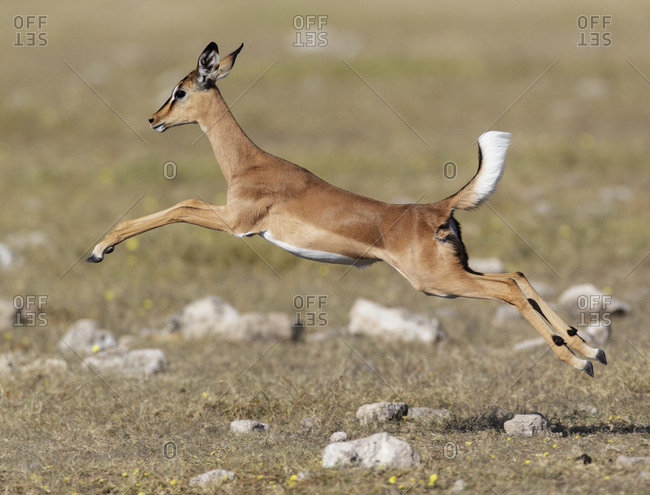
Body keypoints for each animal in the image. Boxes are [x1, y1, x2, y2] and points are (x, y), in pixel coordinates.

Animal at [88, 41, 606, 376]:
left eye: (180, 90)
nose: (153, 120)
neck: (249, 163)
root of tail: (437, 208)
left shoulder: (236, 223)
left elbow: (181, 203)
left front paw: (100, 248)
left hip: (438, 284)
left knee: (509, 290)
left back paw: (577, 360)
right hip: (454, 275)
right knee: (516, 275)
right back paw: (591, 351)